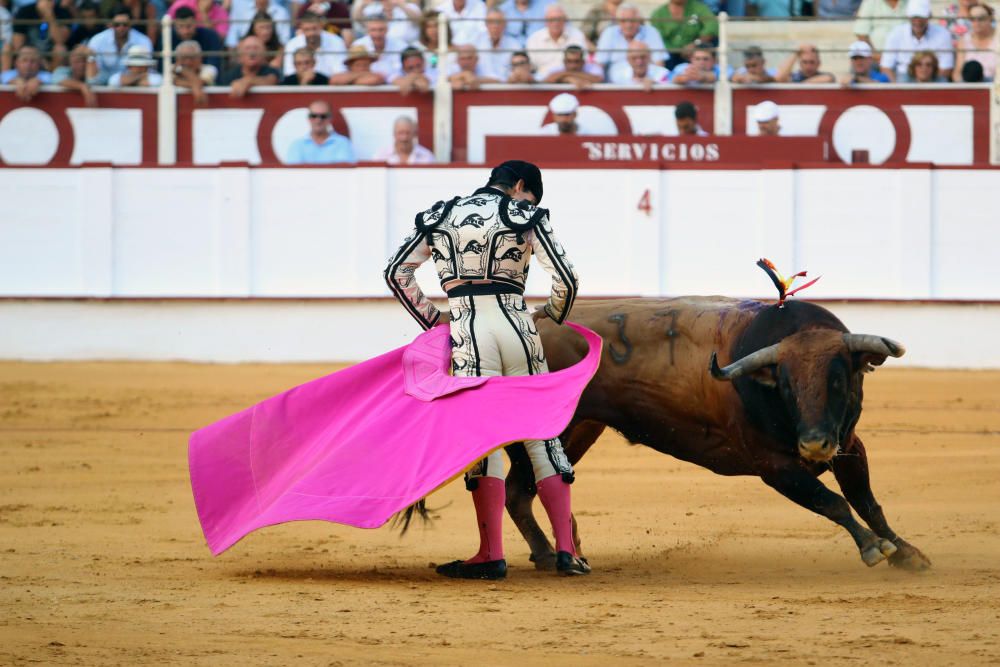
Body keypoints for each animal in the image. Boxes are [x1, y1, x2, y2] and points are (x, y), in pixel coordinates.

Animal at [508, 298, 928, 576]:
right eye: (786, 386)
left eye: (838, 380)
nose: (813, 445)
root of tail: (536, 320)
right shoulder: (775, 467)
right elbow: (833, 502)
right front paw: (873, 547)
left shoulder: (849, 445)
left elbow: (867, 502)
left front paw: (906, 553)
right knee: (519, 492)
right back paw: (551, 555)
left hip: (581, 431)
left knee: (527, 491)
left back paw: (558, 553)